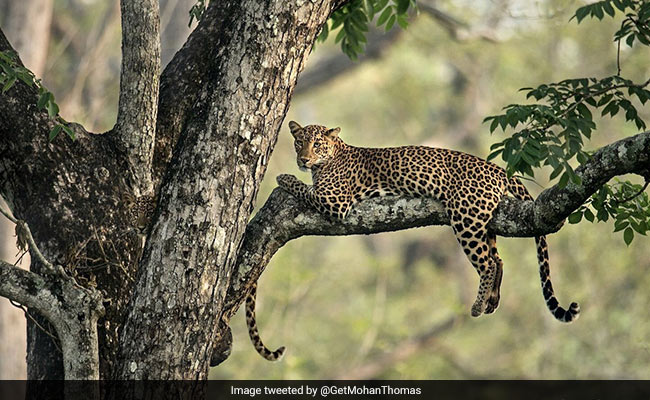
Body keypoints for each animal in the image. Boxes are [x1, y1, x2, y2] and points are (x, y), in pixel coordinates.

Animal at [246, 120, 580, 361]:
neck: (332, 157)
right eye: (299, 142)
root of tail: (497, 168)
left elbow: (300, 187)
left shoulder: (334, 201)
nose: (303, 159)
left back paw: (476, 305)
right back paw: (492, 301)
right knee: (497, 259)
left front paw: (284, 178)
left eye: (317, 144)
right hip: (484, 222)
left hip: (466, 218)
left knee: (486, 263)